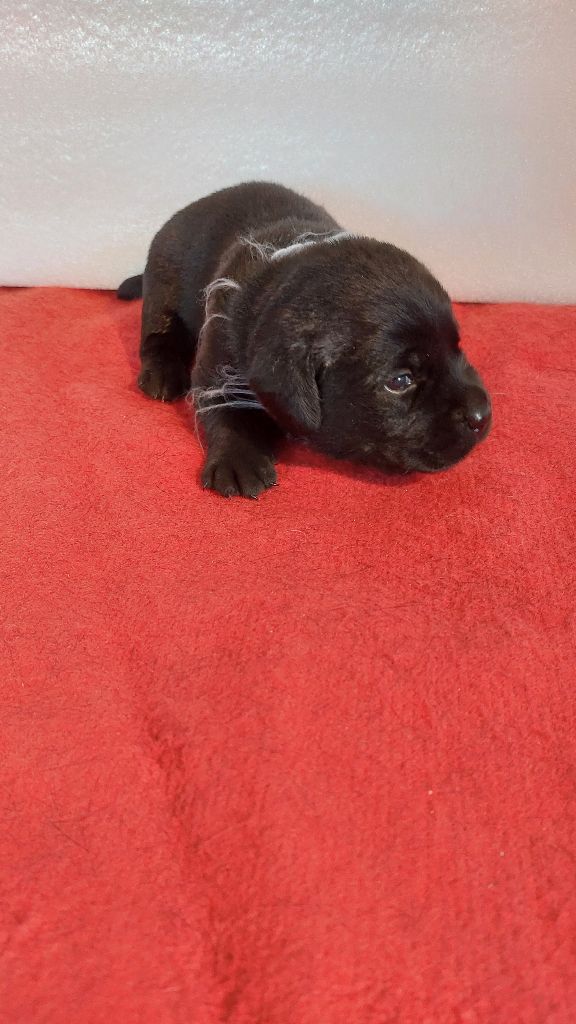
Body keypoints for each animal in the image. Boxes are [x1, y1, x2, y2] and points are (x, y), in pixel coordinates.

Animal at [118, 181, 491, 497]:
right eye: (400, 381)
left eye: (458, 349)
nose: (482, 414)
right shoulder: (217, 357)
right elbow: (224, 407)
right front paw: (237, 459)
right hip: (164, 283)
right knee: (156, 332)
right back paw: (162, 373)